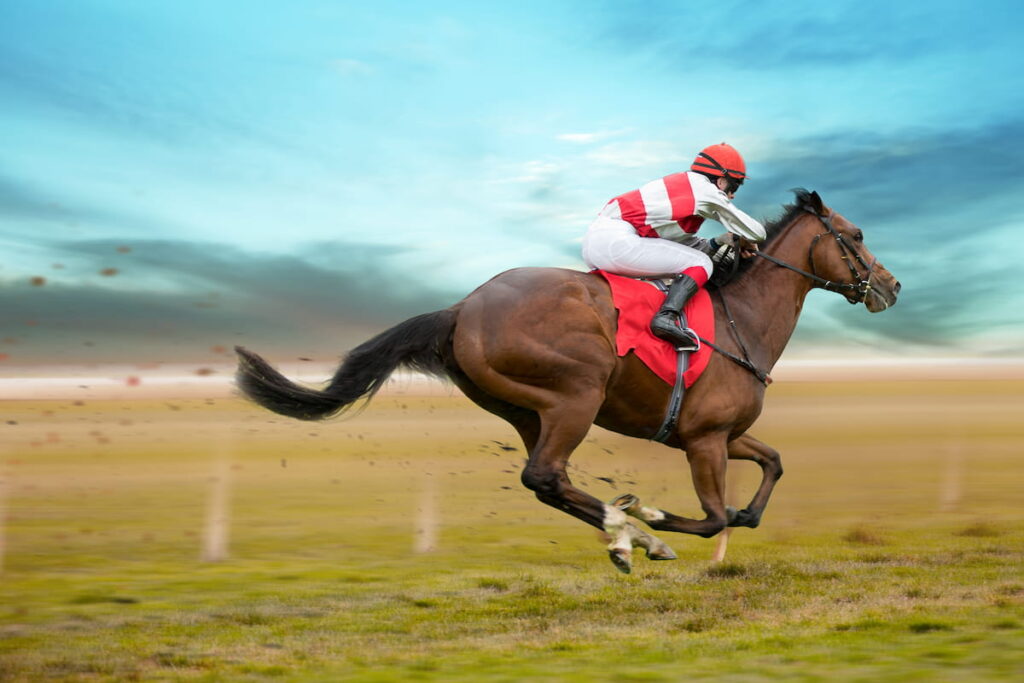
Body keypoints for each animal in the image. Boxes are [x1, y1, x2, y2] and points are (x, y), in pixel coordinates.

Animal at [235, 189, 901, 573]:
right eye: (857, 236)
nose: (892, 286)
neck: (744, 319)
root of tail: (462, 307)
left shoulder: (721, 434)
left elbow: (771, 469)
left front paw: (692, 522)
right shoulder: (705, 439)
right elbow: (714, 516)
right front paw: (657, 520)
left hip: (527, 411)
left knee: (547, 482)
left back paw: (625, 535)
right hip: (576, 396)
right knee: (546, 476)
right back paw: (635, 534)